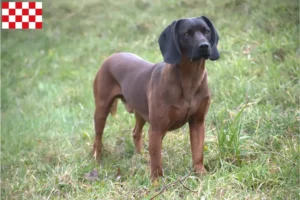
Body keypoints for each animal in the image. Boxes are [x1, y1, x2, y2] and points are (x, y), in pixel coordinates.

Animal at [91, 16, 218, 180]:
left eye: (206, 31)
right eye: (186, 34)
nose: (204, 46)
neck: (189, 78)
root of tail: (111, 56)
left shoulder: (197, 123)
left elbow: (197, 153)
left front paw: (201, 174)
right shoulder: (156, 129)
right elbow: (157, 161)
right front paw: (156, 182)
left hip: (140, 112)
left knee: (136, 133)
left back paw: (142, 156)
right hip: (101, 110)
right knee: (98, 137)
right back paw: (96, 159)